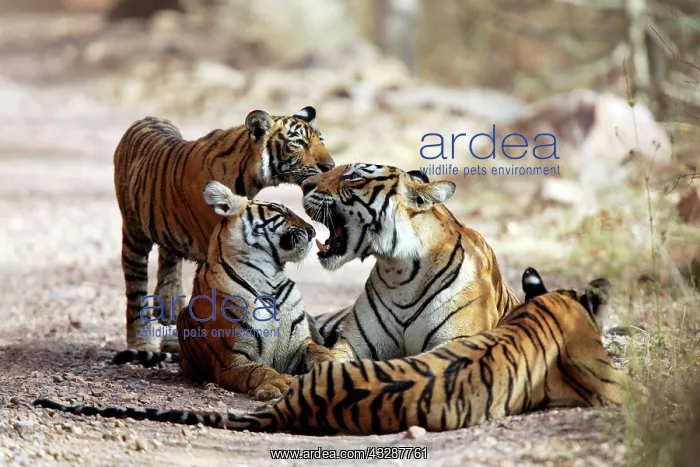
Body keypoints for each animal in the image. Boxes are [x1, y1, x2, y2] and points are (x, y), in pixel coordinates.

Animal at [114, 106, 335, 352]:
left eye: (320, 140)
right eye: (298, 143)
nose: (330, 166)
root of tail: (146, 118)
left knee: (169, 257)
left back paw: (169, 306)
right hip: (133, 234)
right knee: (135, 290)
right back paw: (141, 343)